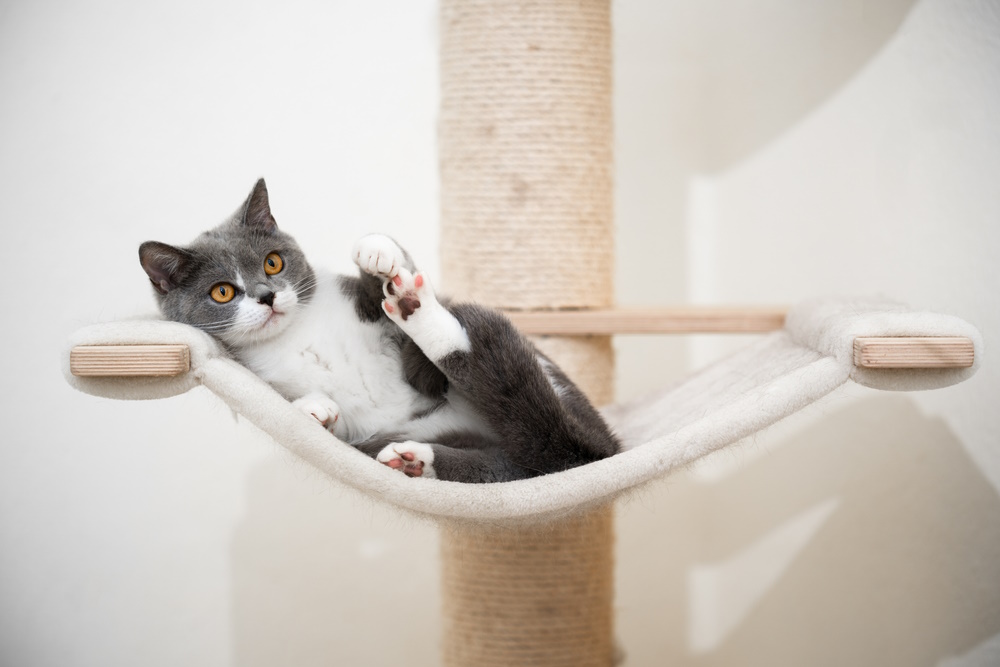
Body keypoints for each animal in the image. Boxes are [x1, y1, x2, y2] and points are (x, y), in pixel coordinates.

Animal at [140, 176, 616, 480]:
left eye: (273, 262)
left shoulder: (376, 321)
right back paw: (415, 460)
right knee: (518, 464)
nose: (267, 296)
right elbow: (311, 413)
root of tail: (603, 449)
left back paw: (414, 306)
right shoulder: (265, 380)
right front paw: (315, 409)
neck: (297, 333)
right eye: (222, 292)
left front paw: (377, 252)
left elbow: (392, 302)